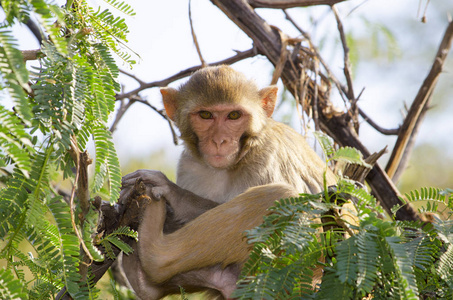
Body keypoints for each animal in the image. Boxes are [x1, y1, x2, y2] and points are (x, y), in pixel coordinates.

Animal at [120, 65, 336, 298]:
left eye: (234, 115)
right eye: (206, 115)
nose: (219, 141)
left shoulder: (268, 157)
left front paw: (172, 191)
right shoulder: (189, 165)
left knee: (283, 196)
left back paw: (155, 255)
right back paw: (144, 282)